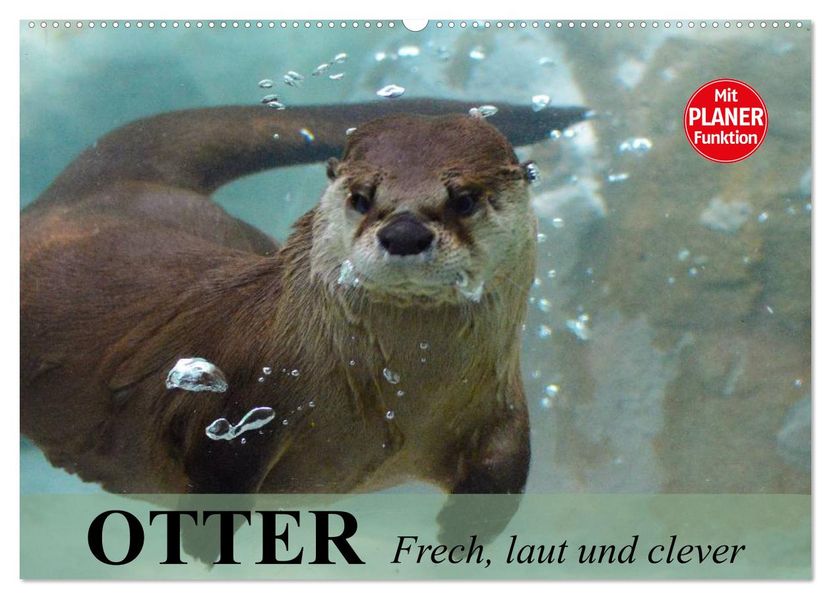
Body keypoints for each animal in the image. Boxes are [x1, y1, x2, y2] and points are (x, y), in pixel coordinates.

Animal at [21, 99, 586, 543]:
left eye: (464, 199)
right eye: (362, 197)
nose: (403, 233)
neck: (400, 399)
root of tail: (91, 192)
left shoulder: (500, 403)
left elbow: (504, 474)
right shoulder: (245, 396)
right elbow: (217, 468)